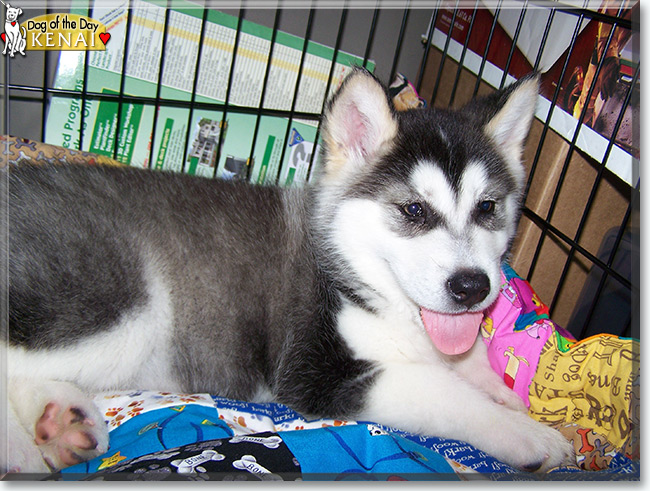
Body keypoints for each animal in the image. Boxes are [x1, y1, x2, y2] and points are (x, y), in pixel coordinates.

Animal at [3, 70, 572, 476]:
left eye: (487, 208)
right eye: (414, 211)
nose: (473, 287)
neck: (353, 275)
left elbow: (465, 357)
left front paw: (500, 388)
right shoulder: (314, 369)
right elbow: (443, 392)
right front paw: (528, 434)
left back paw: (61, 422)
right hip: (117, 304)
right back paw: (25, 449)